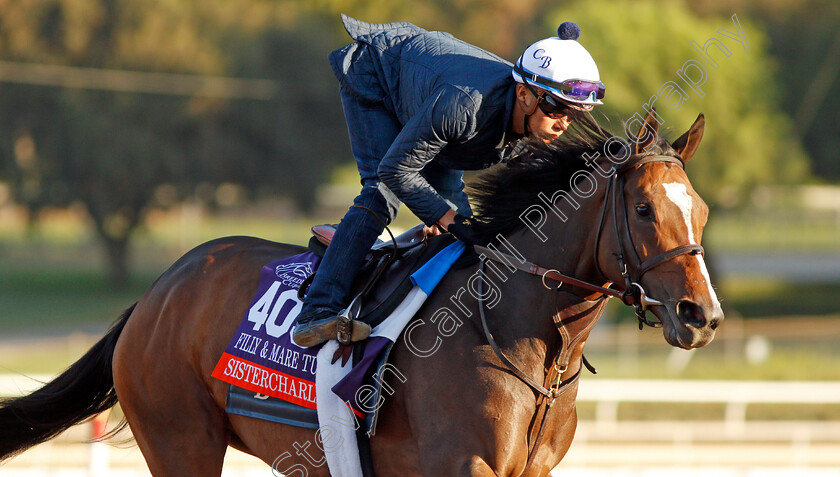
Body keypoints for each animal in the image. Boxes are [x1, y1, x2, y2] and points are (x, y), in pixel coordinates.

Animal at [0, 109, 720, 474]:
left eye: (704, 212)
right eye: (645, 210)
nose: (701, 315)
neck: (528, 345)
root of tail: (156, 293)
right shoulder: (464, 467)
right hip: (182, 439)